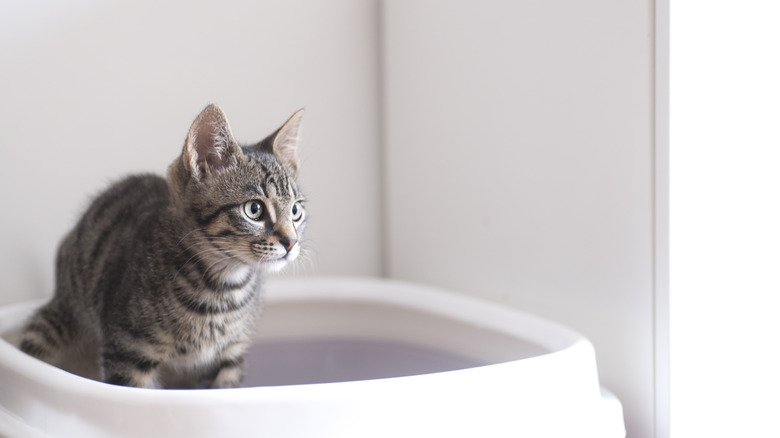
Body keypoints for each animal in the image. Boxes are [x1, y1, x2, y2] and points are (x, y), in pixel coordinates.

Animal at [18, 104, 304, 388]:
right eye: (254, 209)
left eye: (295, 211)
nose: (291, 242)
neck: (222, 289)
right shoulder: (129, 352)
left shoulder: (230, 359)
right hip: (49, 326)